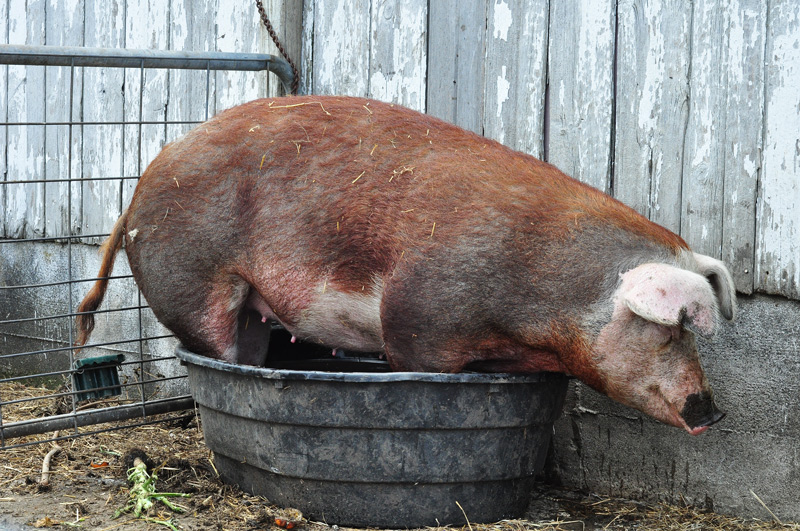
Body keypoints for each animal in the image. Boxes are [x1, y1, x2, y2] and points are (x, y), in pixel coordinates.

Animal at [76, 95, 736, 435]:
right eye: (673, 330)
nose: (711, 408)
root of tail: (137, 190)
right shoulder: (420, 317)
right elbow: (416, 361)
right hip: (191, 280)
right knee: (214, 354)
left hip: (250, 307)